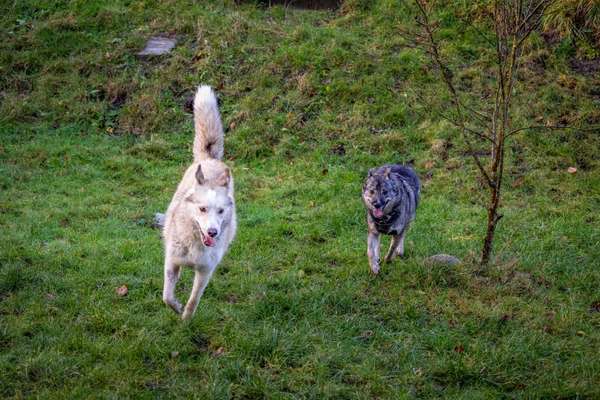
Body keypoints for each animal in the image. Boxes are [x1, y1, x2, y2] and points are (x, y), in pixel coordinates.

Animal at [162, 86, 237, 320]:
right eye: (202, 209)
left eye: (220, 211)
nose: (213, 232)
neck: (195, 243)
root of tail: (210, 159)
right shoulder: (171, 262)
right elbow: (167, 296)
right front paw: (176, 307)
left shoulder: (205, 271)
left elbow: (194, 299)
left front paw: (186, 320)